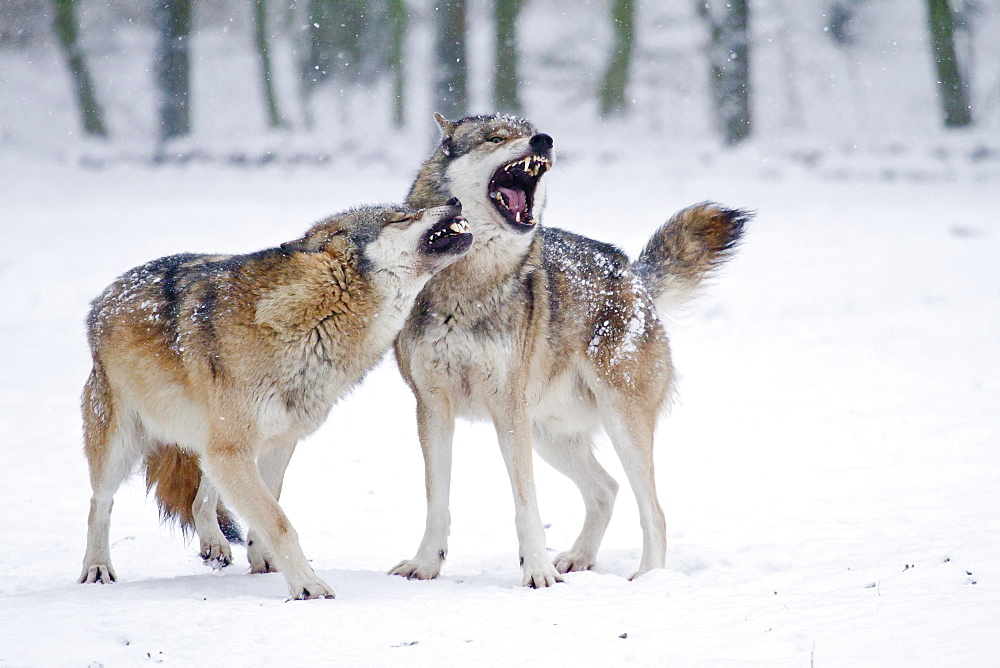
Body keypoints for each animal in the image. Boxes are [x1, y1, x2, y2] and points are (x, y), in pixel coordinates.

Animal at [80, 200, 470, 600]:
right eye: (402, 217)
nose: (454, 202)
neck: (315, 318)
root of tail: (104, 298)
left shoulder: (277, 442)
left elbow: (268, 507)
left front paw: (263, 559)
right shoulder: (234, 448)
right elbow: (279, 521)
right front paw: (307, 585)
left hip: (213, 444)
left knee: (201, 497)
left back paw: (214, 544)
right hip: (122, 446)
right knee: (100, 502)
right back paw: (97, 568)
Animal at [386, 112, 748, 588]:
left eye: (529, 129)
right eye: (496, 138)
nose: (545, 140)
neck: (468, 284)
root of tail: (633, 272)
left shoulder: (508, 410)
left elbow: (526, 505)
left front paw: (537, 572)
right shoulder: (431, 406)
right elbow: (436, 501)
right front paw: (425, 565)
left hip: (619, 423)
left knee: (654, 511)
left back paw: (647, 576)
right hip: (550, 436)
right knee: (606, 490)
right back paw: (578, 557)